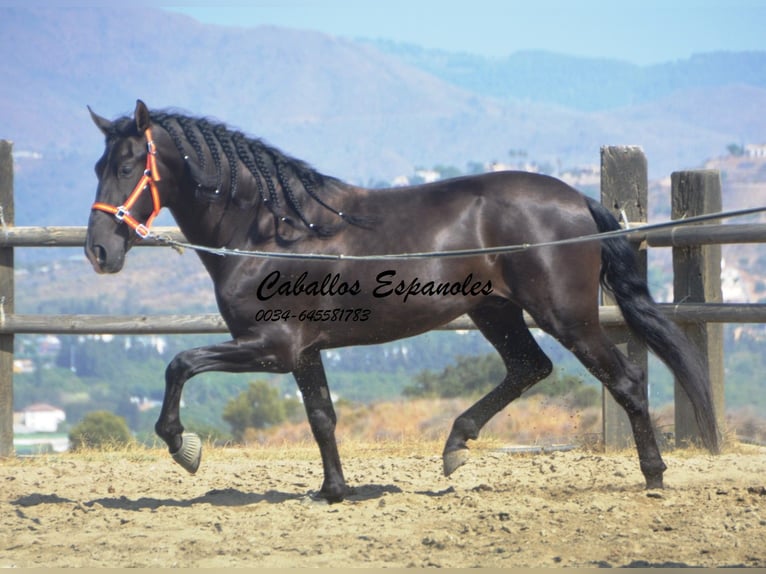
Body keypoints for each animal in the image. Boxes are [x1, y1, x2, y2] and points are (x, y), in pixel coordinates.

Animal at [87, 100, 724, 504]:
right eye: (97, 165)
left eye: (127, 165)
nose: (99, 250)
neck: (269, 232)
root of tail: (578, 201)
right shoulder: (303, 351)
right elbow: (322, 416)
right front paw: (333, 492)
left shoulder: (271, 346)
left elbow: (180, 364)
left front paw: (183, 447)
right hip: (494, 310)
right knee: (529, 367)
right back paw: (456, 446)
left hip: (565, 315)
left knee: (625, 381)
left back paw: (654, 475)